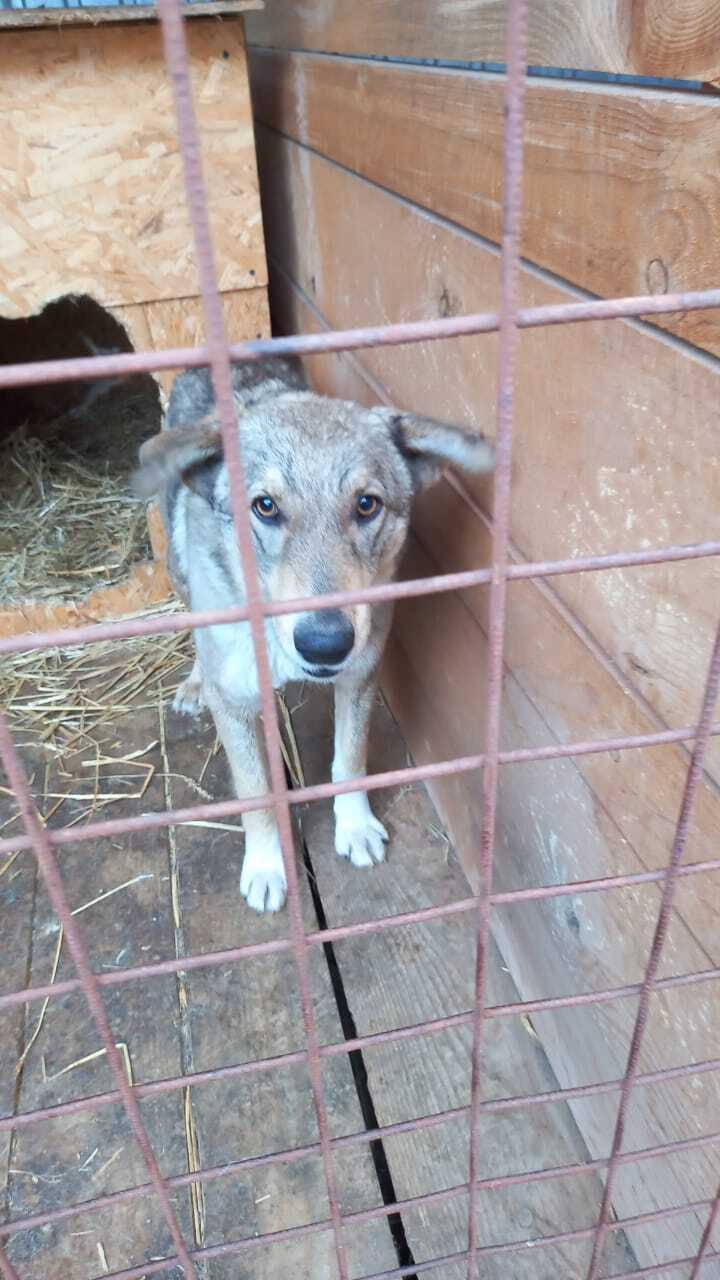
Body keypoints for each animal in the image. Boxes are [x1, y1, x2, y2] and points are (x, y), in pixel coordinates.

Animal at [131, 360, 489, 916]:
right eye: (265, 506)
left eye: (366, 505)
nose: (325, 643)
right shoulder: (234, 702)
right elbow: (255, 790)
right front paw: (265, 867)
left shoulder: (361, 676)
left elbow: (350, 759)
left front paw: (355, 826)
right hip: (179, 571)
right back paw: (194, 683)